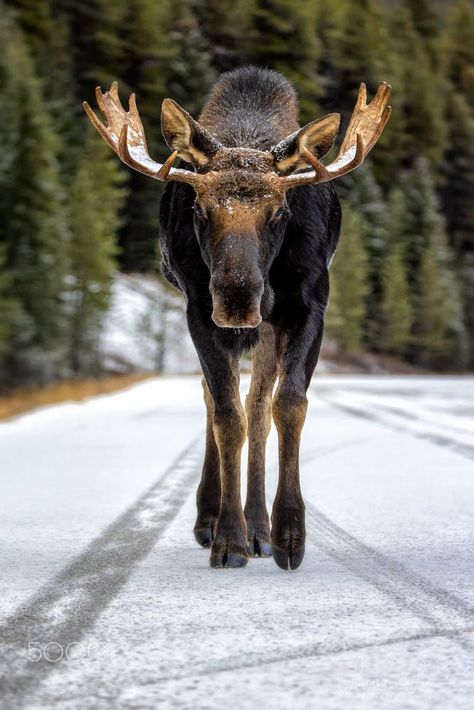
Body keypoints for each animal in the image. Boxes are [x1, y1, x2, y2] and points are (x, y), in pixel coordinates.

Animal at [83, 64, 390, 572]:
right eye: (199, 209)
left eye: (279, 211)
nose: (237, 298)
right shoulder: (199, 311)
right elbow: (227, 415)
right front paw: (229, 537)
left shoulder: (309, 306)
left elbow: (288, 405)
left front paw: (288, 533)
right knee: (217, 400)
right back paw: (213, 519)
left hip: (268, 329)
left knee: (259, 406)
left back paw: (260, 528)